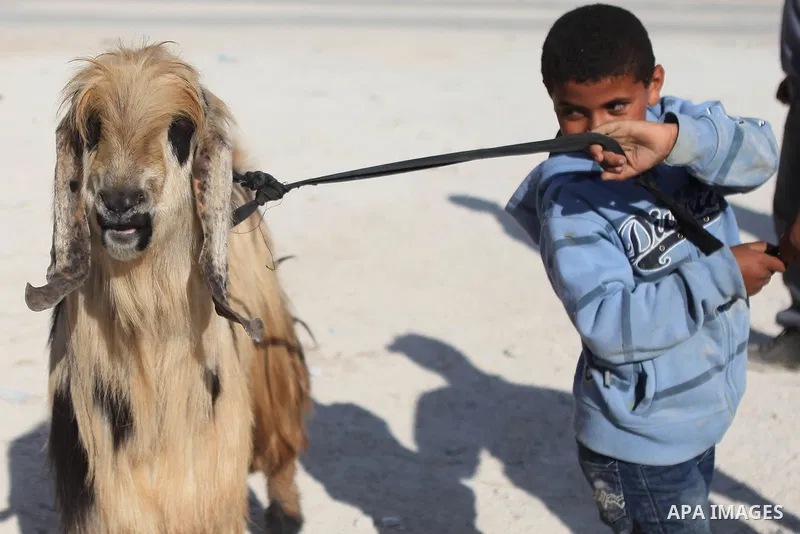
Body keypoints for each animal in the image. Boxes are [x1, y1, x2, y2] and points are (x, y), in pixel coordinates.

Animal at [23, 42, 311, 534]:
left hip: (271, 354)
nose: (120, 202)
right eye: (93, 129)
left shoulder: (211, 488)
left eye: (180, 129)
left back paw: (285, 513)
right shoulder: (107, 496)